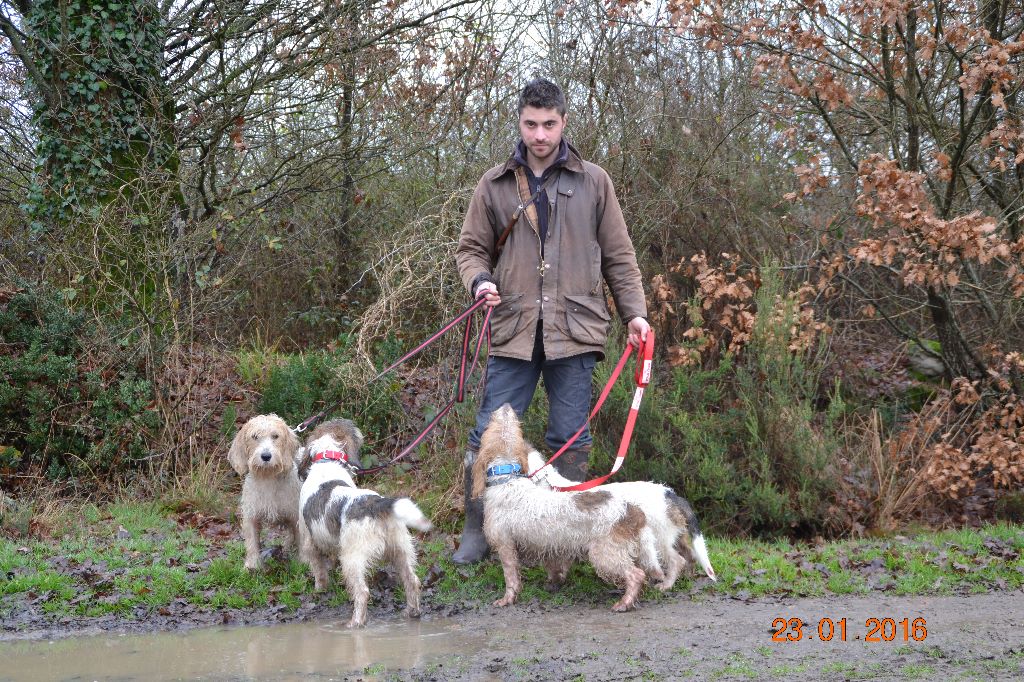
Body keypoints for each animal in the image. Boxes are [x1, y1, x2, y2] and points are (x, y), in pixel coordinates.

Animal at [226, 411, 301, 569]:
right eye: (254, 436)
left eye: (275, 436)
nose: (266, 456)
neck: (268, 477)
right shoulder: (251, 516)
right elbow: (252, 542)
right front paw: (252, 566)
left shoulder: (296, 516)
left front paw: (303, 563)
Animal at [296, 417, 432, 630]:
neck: (327, 462)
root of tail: (377, 504)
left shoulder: (309, 540)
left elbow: (319, 570)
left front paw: (320, 589)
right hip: (400, 549)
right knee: (412, 580)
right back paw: (412, 612)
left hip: (353, 558)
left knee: (362, 592)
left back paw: (355, 622)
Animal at [473, 403, 647, 610]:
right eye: (516, 427)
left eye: (490, 425)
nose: (507, 405)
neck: (506, 478)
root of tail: (631, 510)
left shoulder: (505, 544)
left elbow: (511, 578)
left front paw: (507, 599)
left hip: (605, 554)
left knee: (637, 575)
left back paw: (624, 603)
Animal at [528, 448, 720, 585]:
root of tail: (669, 494)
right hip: (674, 537)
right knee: (690, 556)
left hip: (660, 540)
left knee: (677, 560)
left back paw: (665, 585)